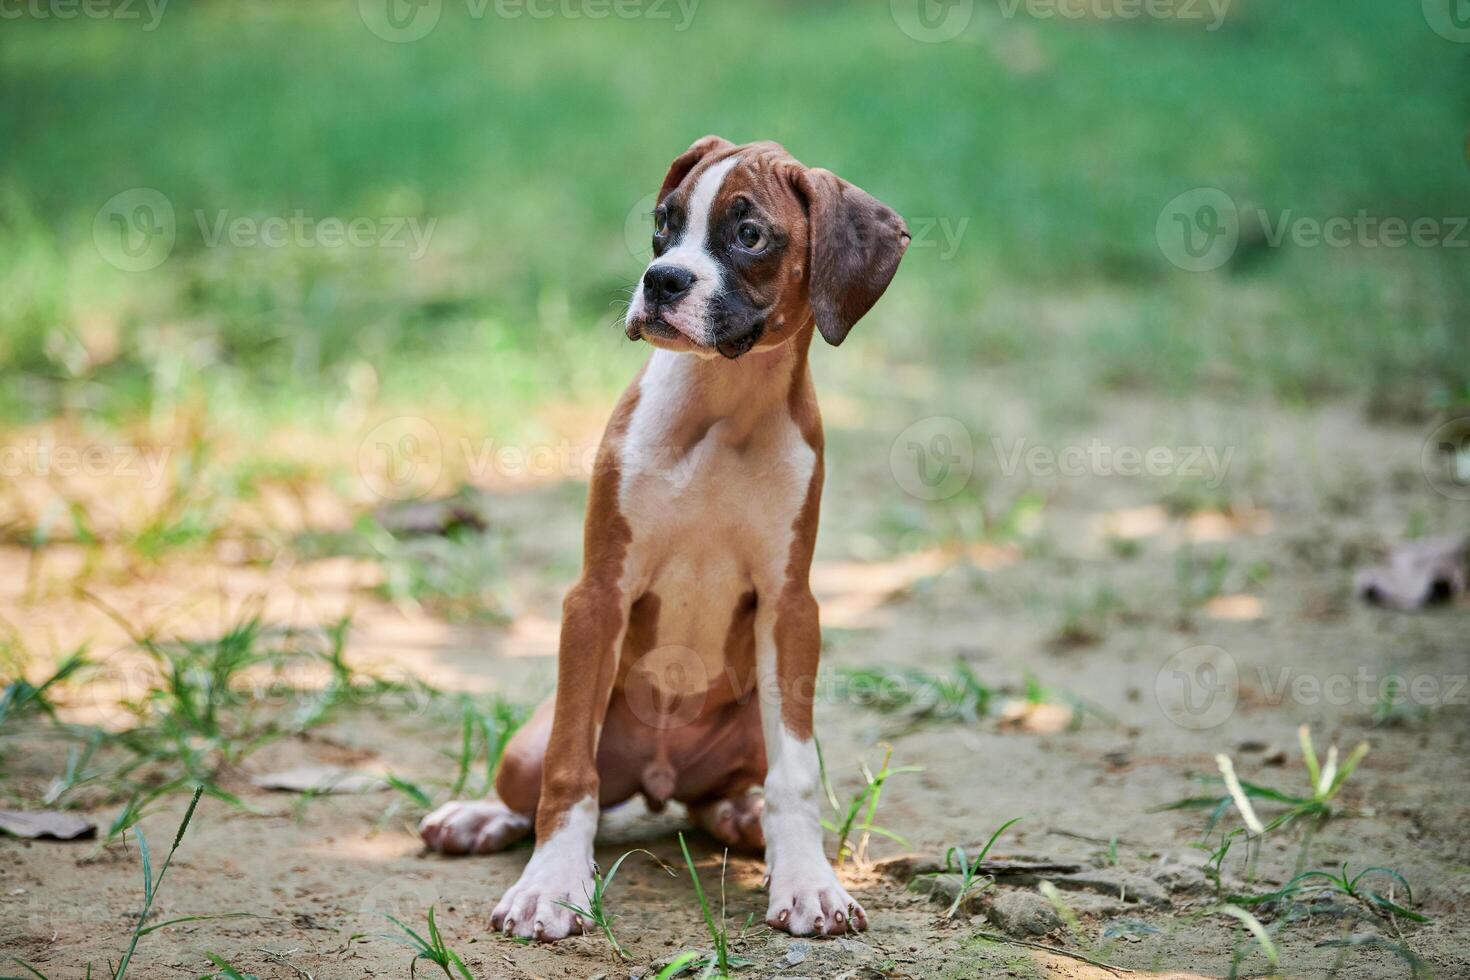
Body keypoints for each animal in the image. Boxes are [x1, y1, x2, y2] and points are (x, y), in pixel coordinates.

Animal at [414, 135, 911, 940]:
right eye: (662, 222)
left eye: (750, 235)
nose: (663, 279)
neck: (723, 406)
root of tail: (657, 775)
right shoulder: (597, 596)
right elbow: (569, 772)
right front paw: (551, 887)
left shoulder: (791, 609)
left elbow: (797, 777)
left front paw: (807, 882)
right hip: (535, 738)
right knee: (533, 782)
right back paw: (477, 817)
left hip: (749, 725)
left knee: (729, 794)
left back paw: (744, 816)